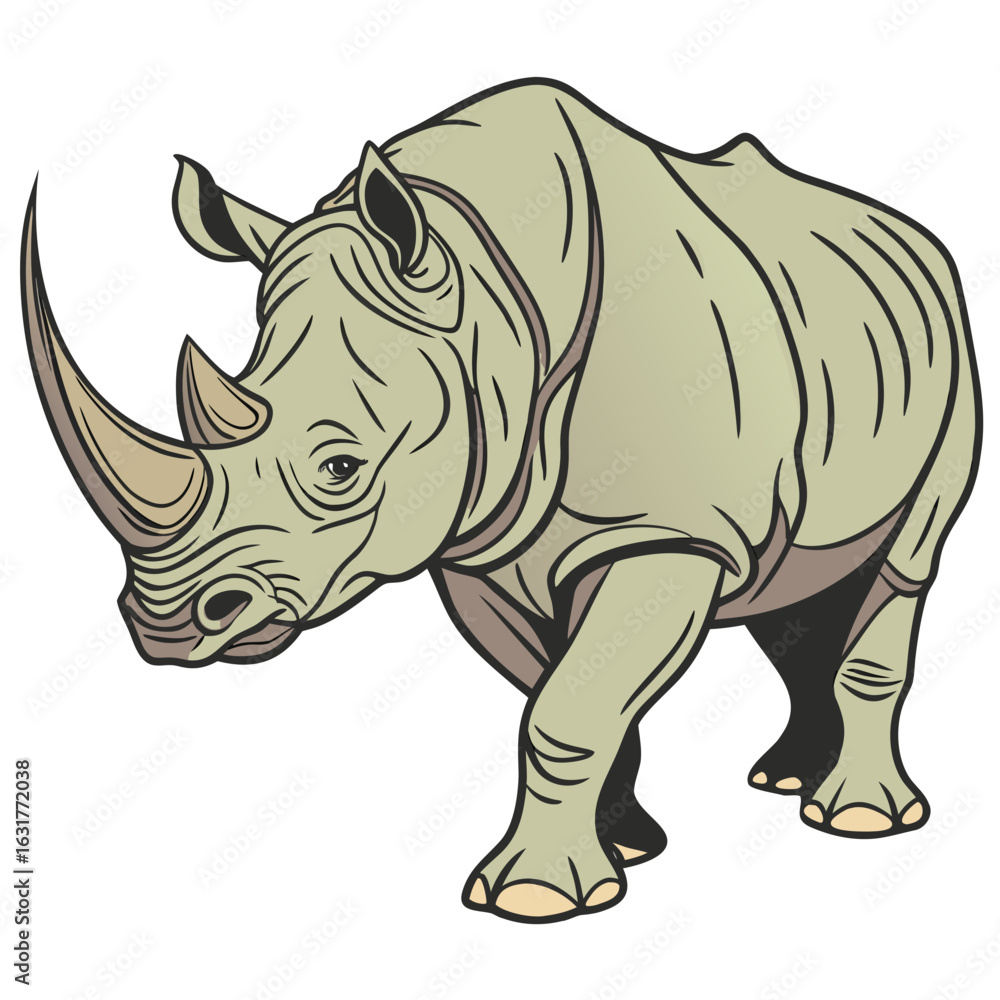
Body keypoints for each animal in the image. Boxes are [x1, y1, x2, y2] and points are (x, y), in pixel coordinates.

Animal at [23, 79, 981, 923]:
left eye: (339, 467)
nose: (164, 625)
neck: (488, 299)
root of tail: (911, 232)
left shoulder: (669, 533)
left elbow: (569, 710)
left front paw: (535, 900)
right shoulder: (479, 543)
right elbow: (558, 695)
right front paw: (626, 848)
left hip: (958, 346)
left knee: (906, 564)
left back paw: (859, 818)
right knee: (794, 589)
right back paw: (787, 781)